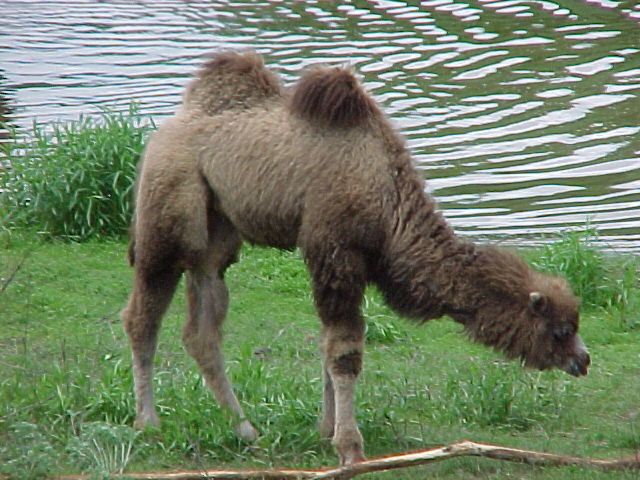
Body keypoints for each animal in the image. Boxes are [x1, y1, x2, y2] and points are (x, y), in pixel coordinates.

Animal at [122, 51, 590, 466]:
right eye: (561, 329)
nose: (583, 360)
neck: (389, 203)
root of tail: (166, 127)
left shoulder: (349, 264)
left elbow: (329, 344)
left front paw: (326, 429)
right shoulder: (336, 250)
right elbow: (345, 353)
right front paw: (349, 447)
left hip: (217, 233)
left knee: (202, 327)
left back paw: (245, 429)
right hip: (168, 208)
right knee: (144, 313)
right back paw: (148, 423)